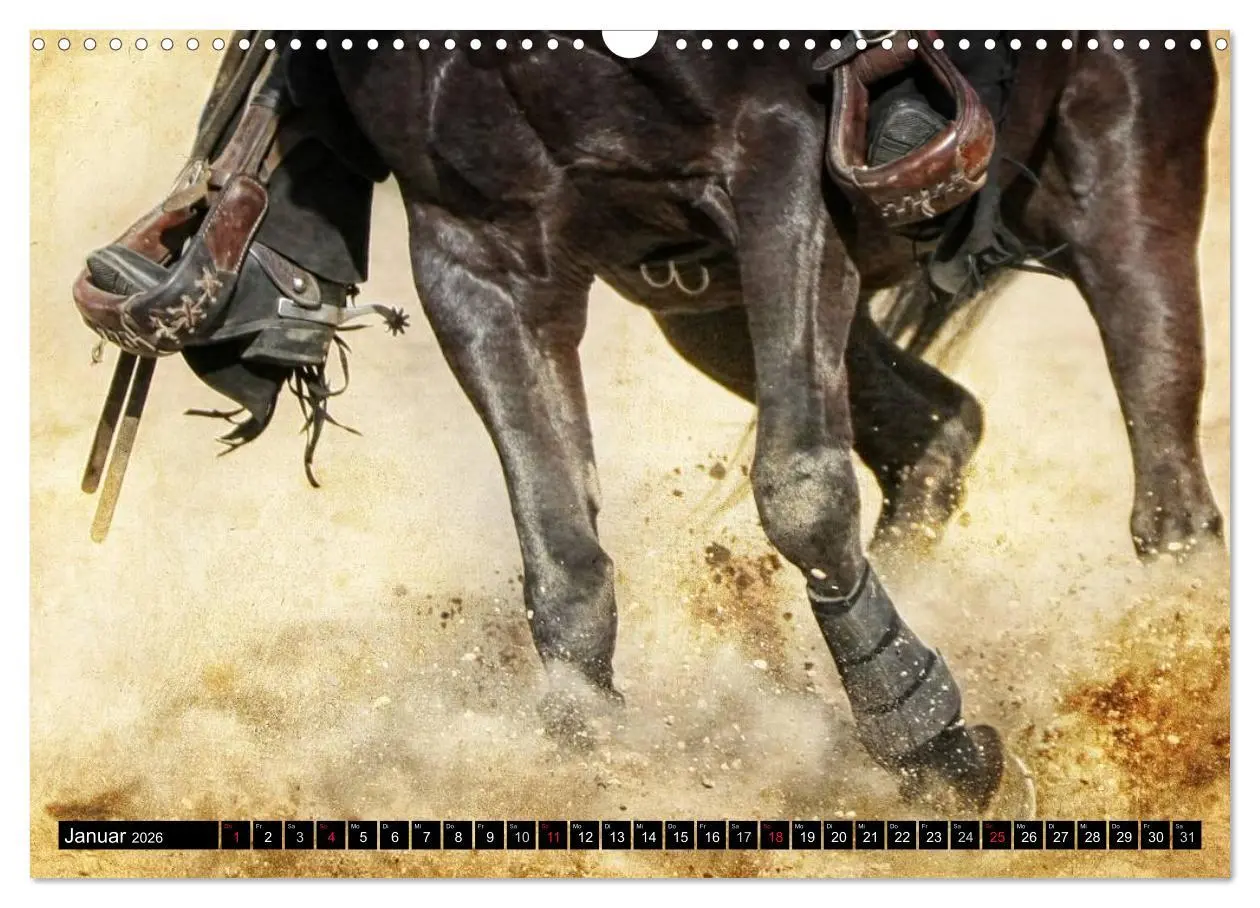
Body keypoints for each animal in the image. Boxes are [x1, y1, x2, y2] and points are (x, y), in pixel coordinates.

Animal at [75, 30, 1224, 809]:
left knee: (1170, 493)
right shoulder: (477, 259)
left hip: (1121, 186)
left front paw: (919, 734)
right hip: (707, 315)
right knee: (941, 428)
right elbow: (563, 558)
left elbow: (800, 489)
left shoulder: (780, 171)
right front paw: (585, 768)